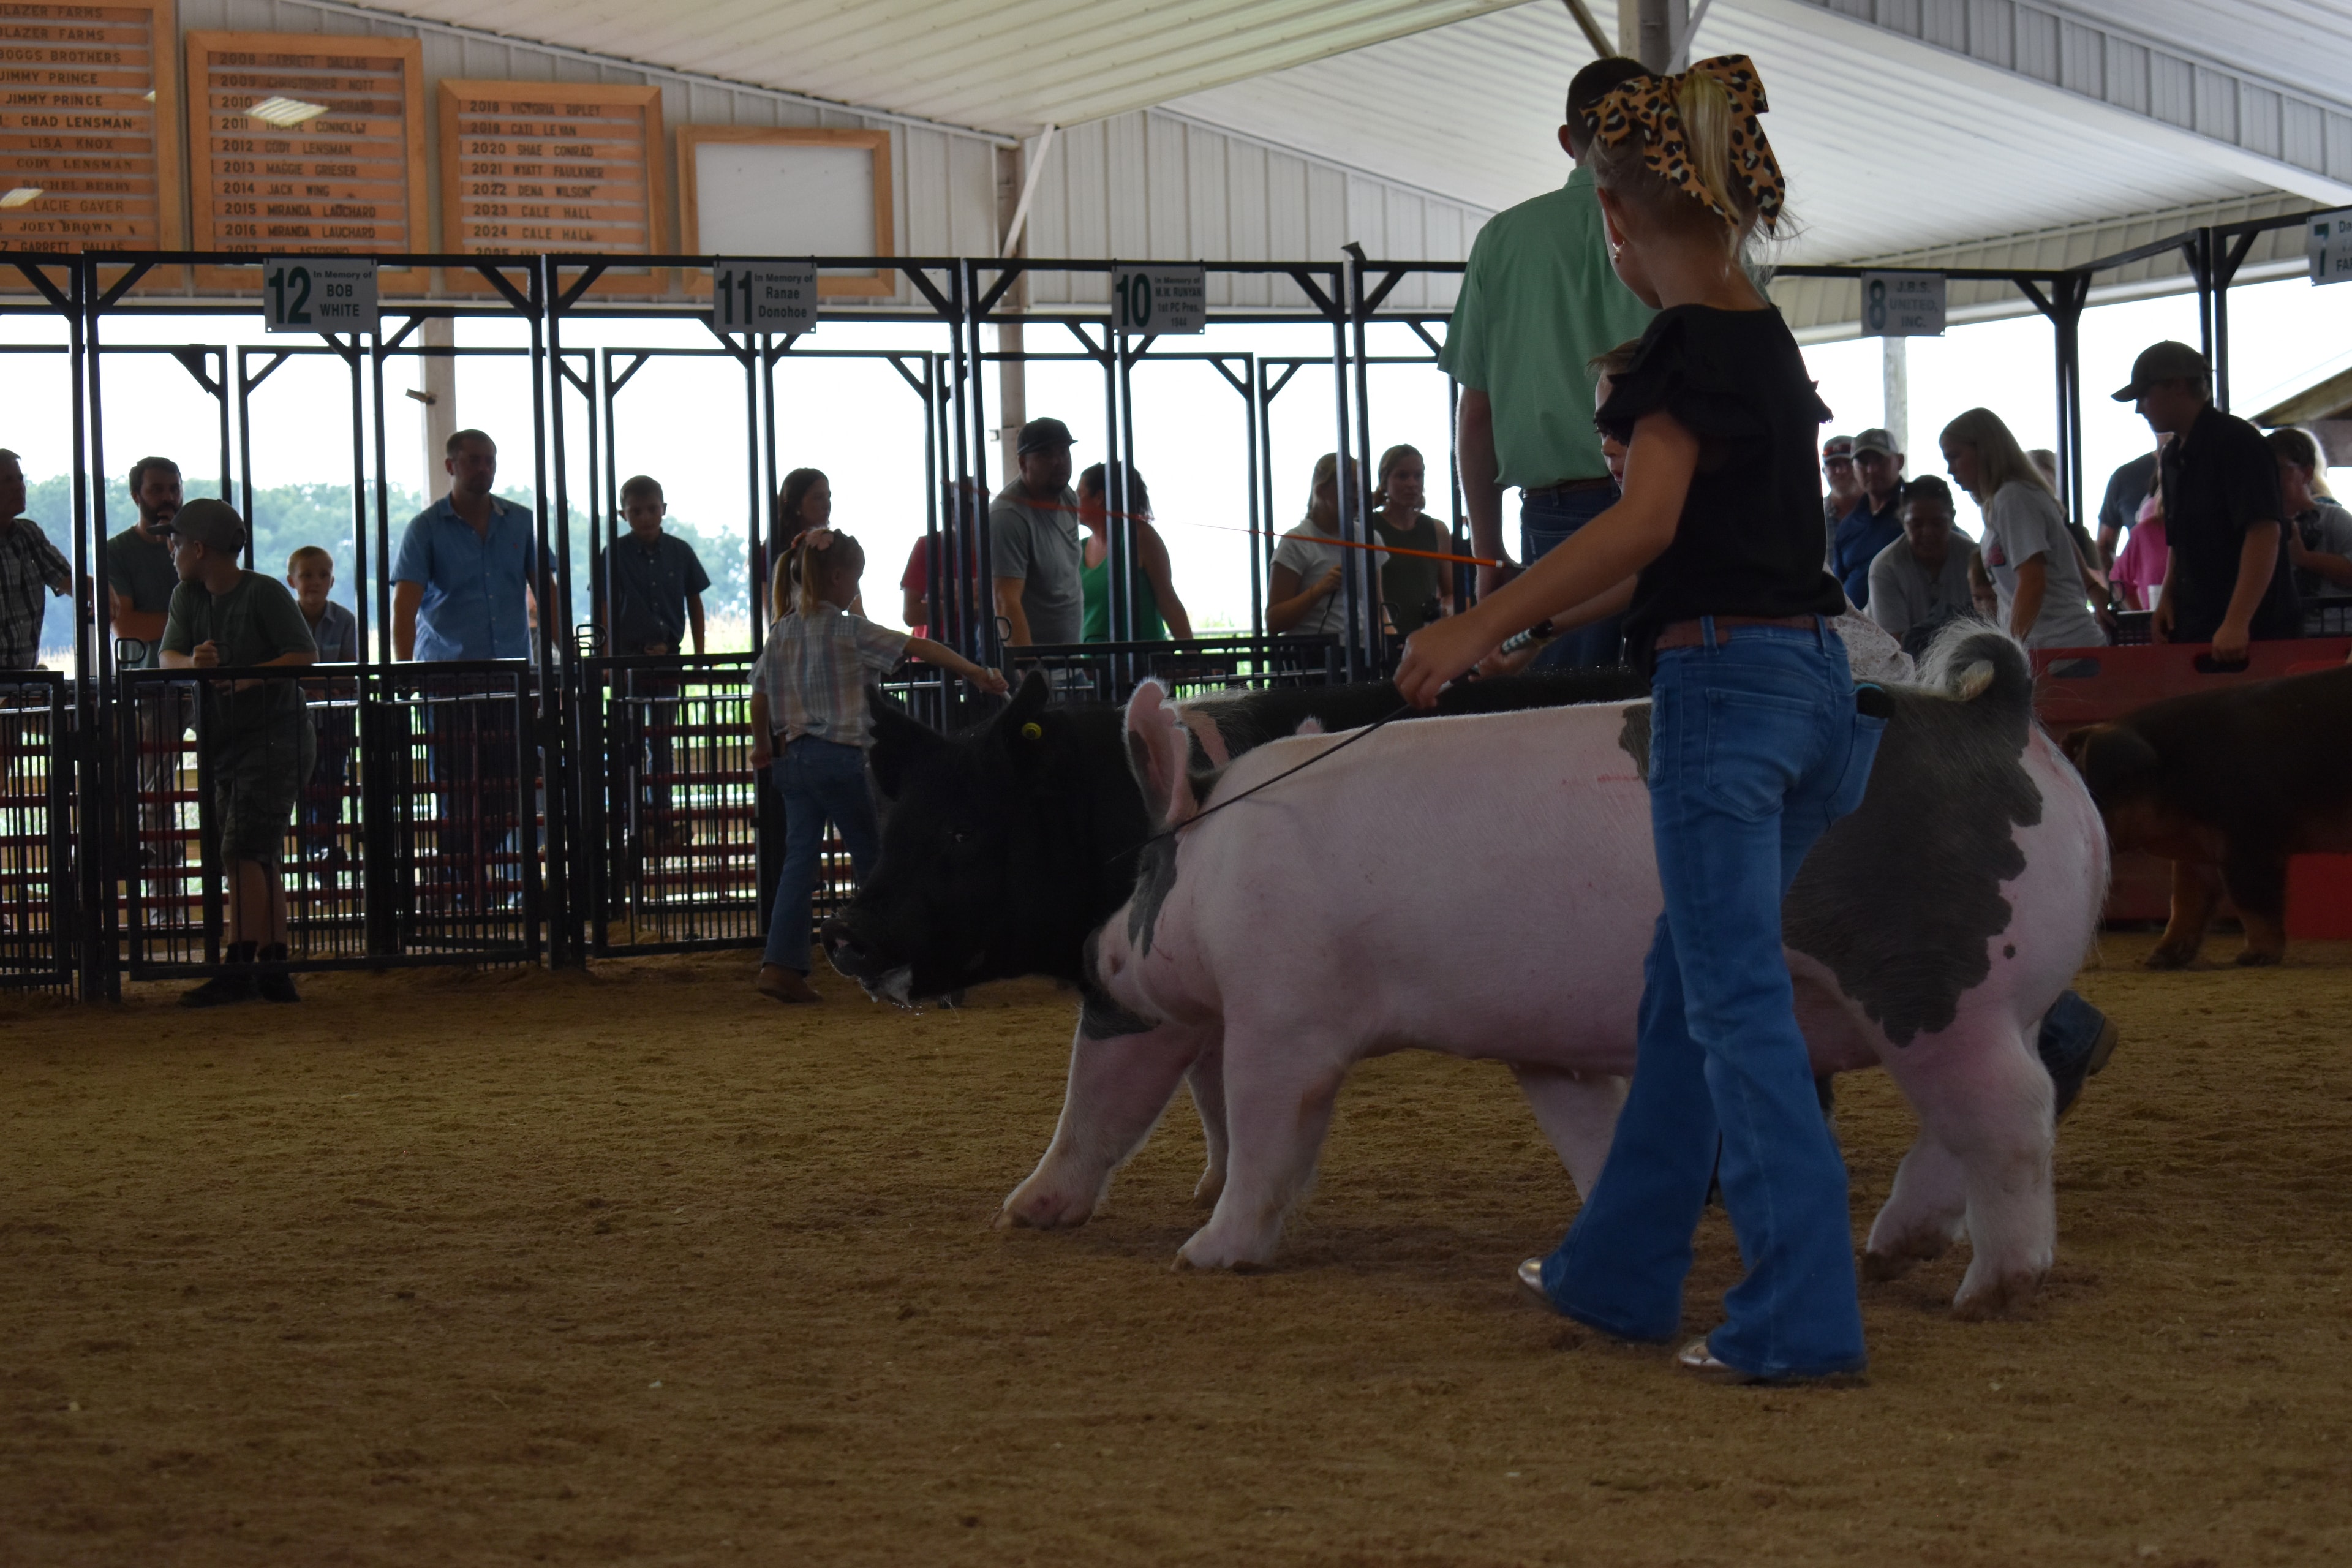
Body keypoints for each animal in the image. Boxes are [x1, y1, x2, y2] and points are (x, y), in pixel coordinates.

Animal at [1064, 628, 2106, 1319]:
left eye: (1145, 872)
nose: (1094, 950)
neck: (1225, 858)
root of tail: (2004, 722)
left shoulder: (1285, 1010)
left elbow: (1269, 1132)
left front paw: (1205, 1256)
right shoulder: (1545, 1046)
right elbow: (1590, 1134)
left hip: (1931, 982)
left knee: (2010, 1112)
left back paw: (1989, 1290)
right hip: (1976, 1000)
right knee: (1981, 1113)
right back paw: (1889, 1254)